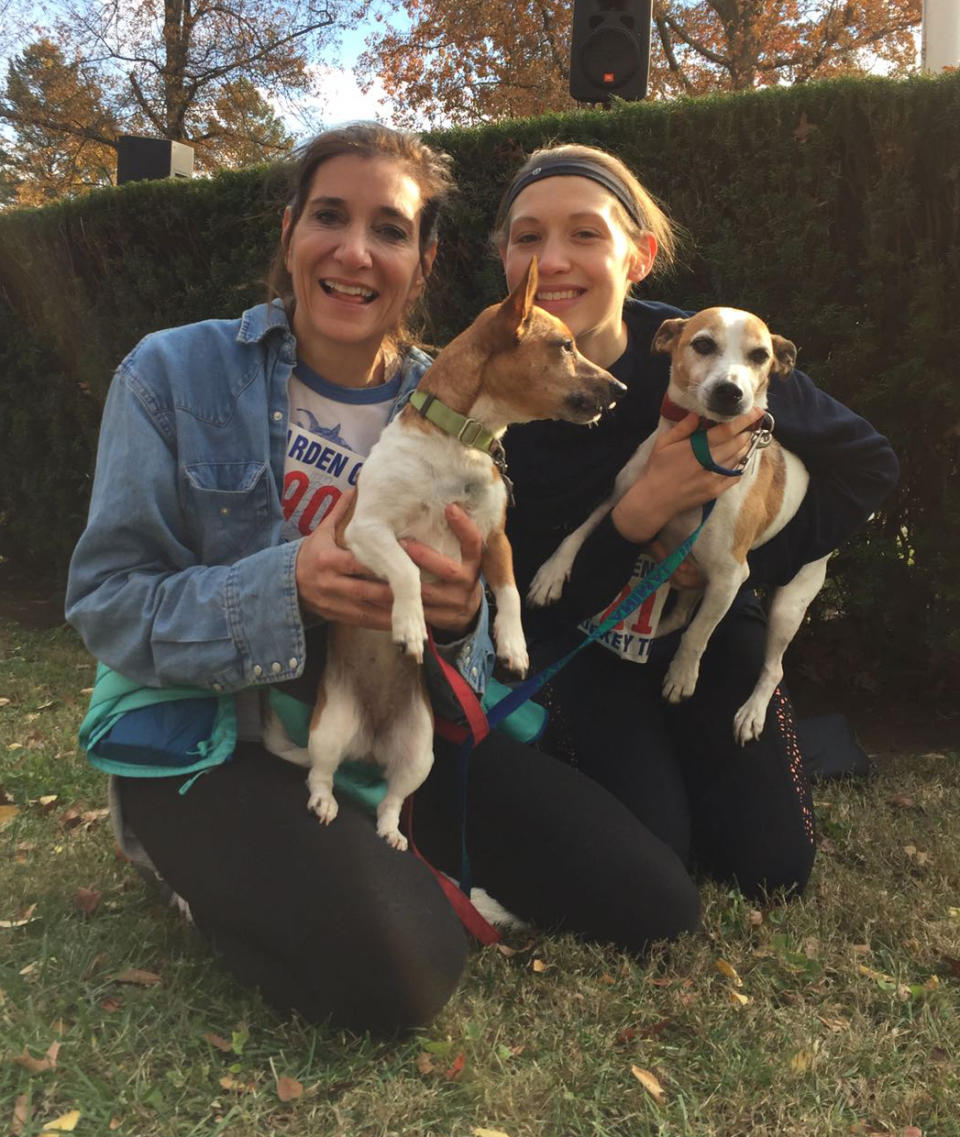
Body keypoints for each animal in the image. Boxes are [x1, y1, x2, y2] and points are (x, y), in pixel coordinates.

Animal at [262, 258, 623, 845]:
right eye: (565, 346)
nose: (621, 387)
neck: (463, 441)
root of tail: (369, 745)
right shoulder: (367, 531)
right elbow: (408, 570)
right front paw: (410, 626)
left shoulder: (495, 540)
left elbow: (508, 594)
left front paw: (514, 647)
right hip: (329, 730)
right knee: (321, 772)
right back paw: (323, 801)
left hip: (420, 752)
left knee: (391, 798)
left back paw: (392, 832)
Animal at [527, 304, 828, 745]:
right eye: (703, 344)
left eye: (760, 356)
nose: (730, 392)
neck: (697, 444)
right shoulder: (620, 500)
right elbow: (577, 532)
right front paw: (551, 574)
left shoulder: (730, 575)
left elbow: (700, 634)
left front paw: (683, 675)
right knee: (684, 611)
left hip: (789, 605)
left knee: (770, 666)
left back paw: (752, 712)